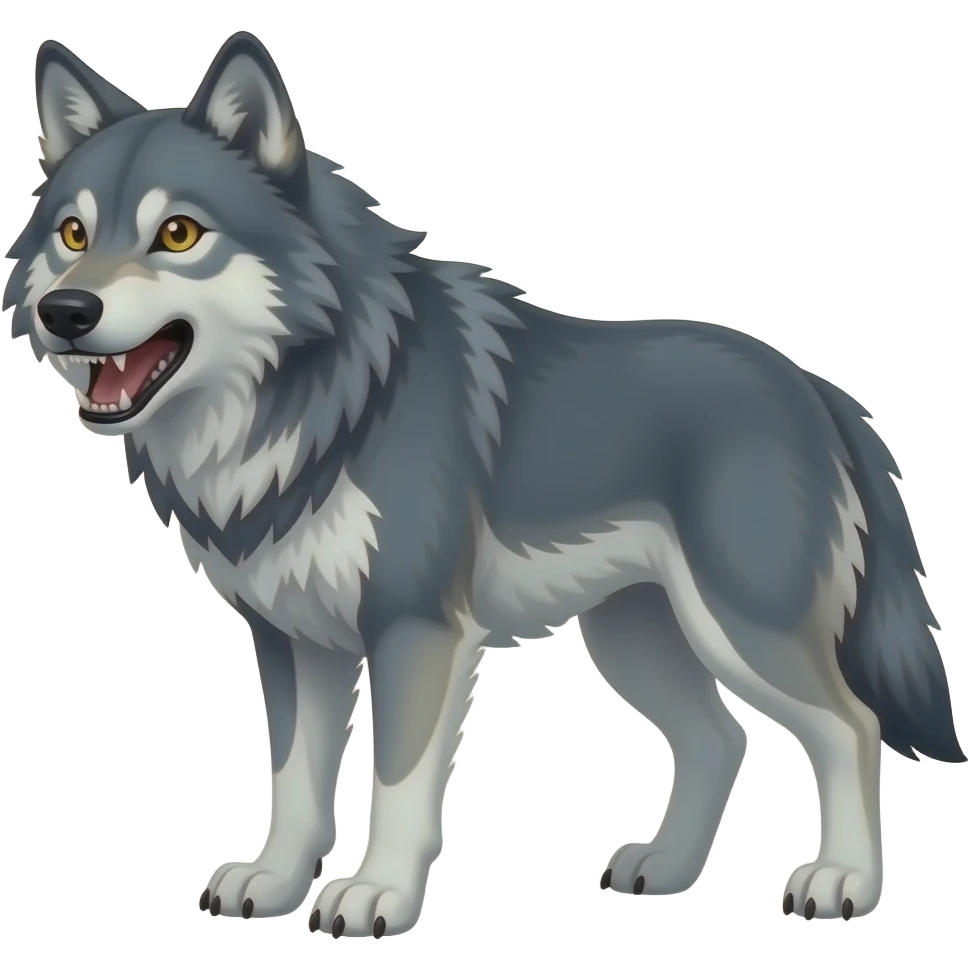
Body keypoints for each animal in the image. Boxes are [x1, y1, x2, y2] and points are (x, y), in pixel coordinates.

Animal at [4, 31, 963, 937]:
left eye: (178, 234)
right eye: (74, 236)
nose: (66, 313)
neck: (321, 400)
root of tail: (817, 389)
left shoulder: (414, 629)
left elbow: (396, 783)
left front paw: (376, 897)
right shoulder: (292, 640)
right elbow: (297, 786)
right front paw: (274, 884)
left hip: (741, 629)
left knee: (851, 727)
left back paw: (840, 882)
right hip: (634, 640)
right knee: (722, 738)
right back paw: (665, 869)